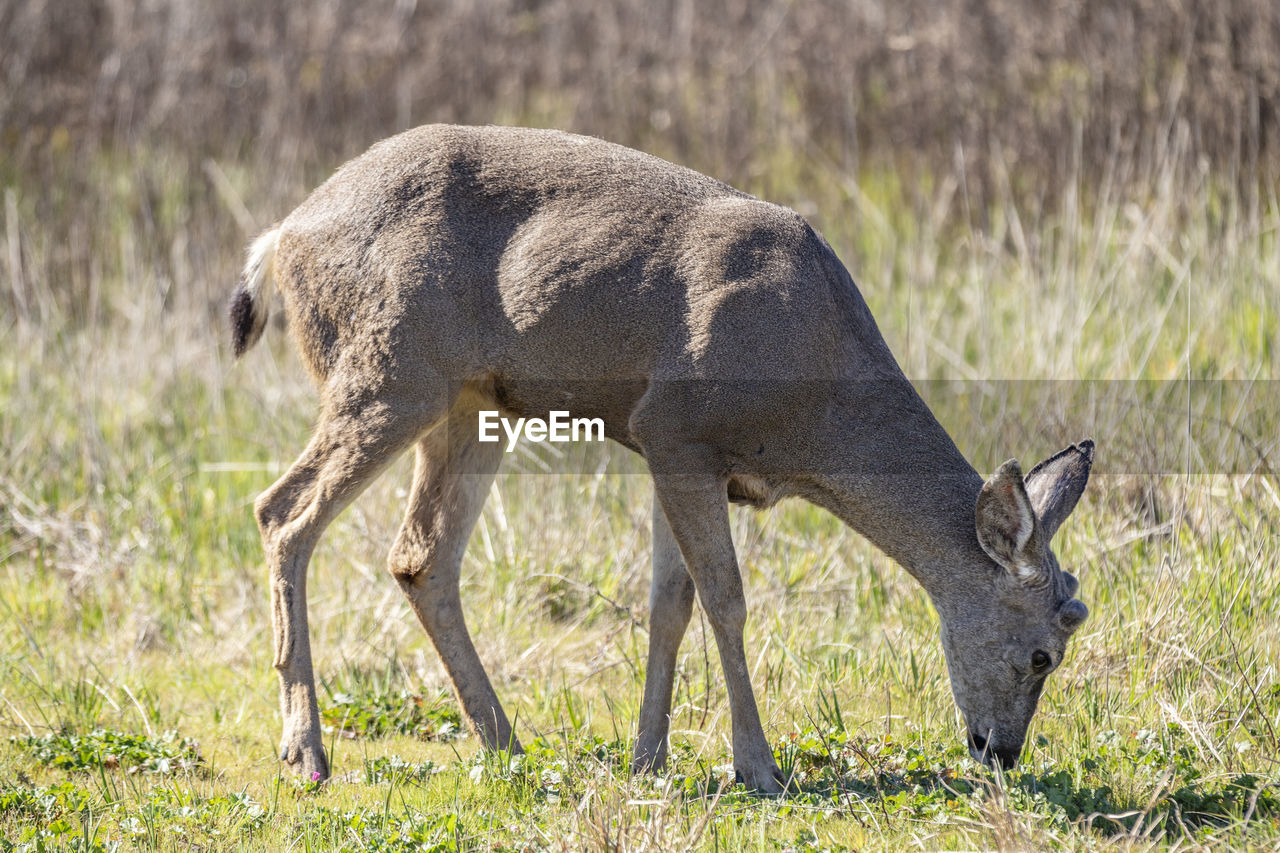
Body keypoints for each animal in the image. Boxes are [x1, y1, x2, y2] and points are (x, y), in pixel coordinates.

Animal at [230, 122, 1090, 788]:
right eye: (1042, 653)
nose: (1001, 752)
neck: (813, 398)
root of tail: (282, 234)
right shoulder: (680, 427)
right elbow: (726, 598)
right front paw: (757, 766)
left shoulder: (668, 449)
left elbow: (667, 604)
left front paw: (649, 757)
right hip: (389, 370)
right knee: (283, 511)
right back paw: (307, 751)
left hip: (472, 404)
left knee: (420, 554)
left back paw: (506, 742)